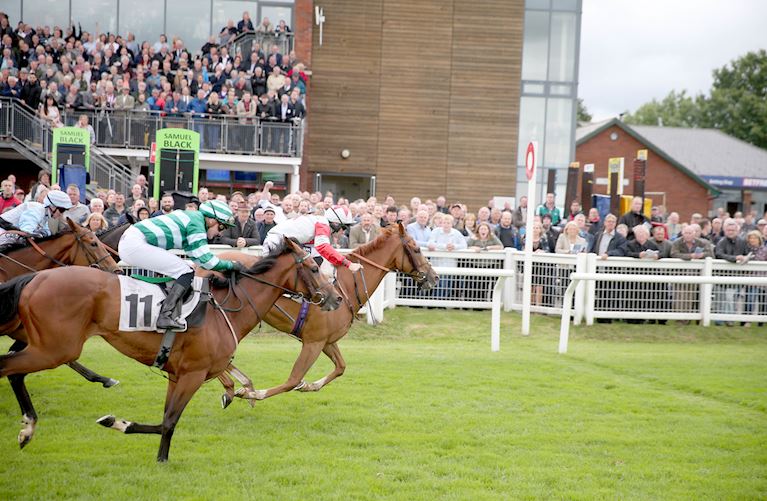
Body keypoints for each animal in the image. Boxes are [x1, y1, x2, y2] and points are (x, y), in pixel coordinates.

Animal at [0, 238, 342, 460]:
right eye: (314, 269)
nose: (336, 298)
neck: (227, 308)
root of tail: (36, 277)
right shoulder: (193, 374)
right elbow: (169, 421)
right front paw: (127, 431)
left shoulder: (177, 375)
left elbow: (166, 420)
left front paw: (147, 447)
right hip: (56, 348)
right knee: (9, 367)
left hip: (43, 343)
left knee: (15, 372)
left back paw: (28, 428)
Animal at [222, 225, 438, 404]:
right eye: (417, 249)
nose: (434, 277)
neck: (346, 288)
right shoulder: (313, 342)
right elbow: (293, 380)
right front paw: (253, 393)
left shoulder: (326, 340)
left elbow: (341, 367)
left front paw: (309, 385)